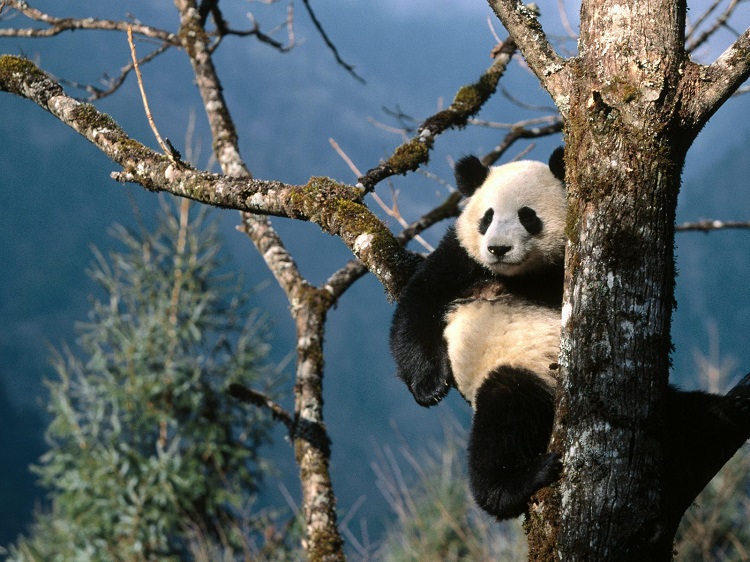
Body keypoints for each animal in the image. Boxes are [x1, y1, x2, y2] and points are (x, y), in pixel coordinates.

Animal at [389, 148, 750, 522]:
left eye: (528, 217)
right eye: (486, 218)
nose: (498, 249)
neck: (521, 275)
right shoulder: (461, 258)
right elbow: (418, 304)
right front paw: (429, 387)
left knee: (680, 410)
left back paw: (724, 410)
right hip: (518, 372)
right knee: (504, 416)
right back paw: (514, 483)